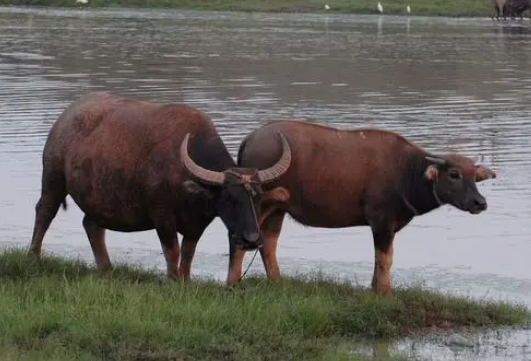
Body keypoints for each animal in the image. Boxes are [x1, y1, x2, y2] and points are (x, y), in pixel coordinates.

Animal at [29, 92, 294, 278]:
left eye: (257, 197)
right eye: (229, 198)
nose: (252, 239)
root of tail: (64, 118)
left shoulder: (196, 224)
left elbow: (188, 254)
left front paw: (185, 279)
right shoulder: (162, 217)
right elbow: (172, 251)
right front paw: (172, 279)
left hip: (98, 200)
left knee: (92, 225)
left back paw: (106, 267)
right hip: (52, 178)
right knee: (45, 211)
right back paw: (33, 255)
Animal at [235, 119, 496, 294]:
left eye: (474, 176)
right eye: (454, 174)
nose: (480, 202)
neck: (406, 171)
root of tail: (251, 138)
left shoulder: (388, 225)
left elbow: (383, 257)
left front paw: (375, 287)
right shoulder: (380, 221)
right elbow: (384, 258)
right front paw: (384, 291)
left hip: (278, 209)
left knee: (268, 243)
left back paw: (276, 280)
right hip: (258, 205)